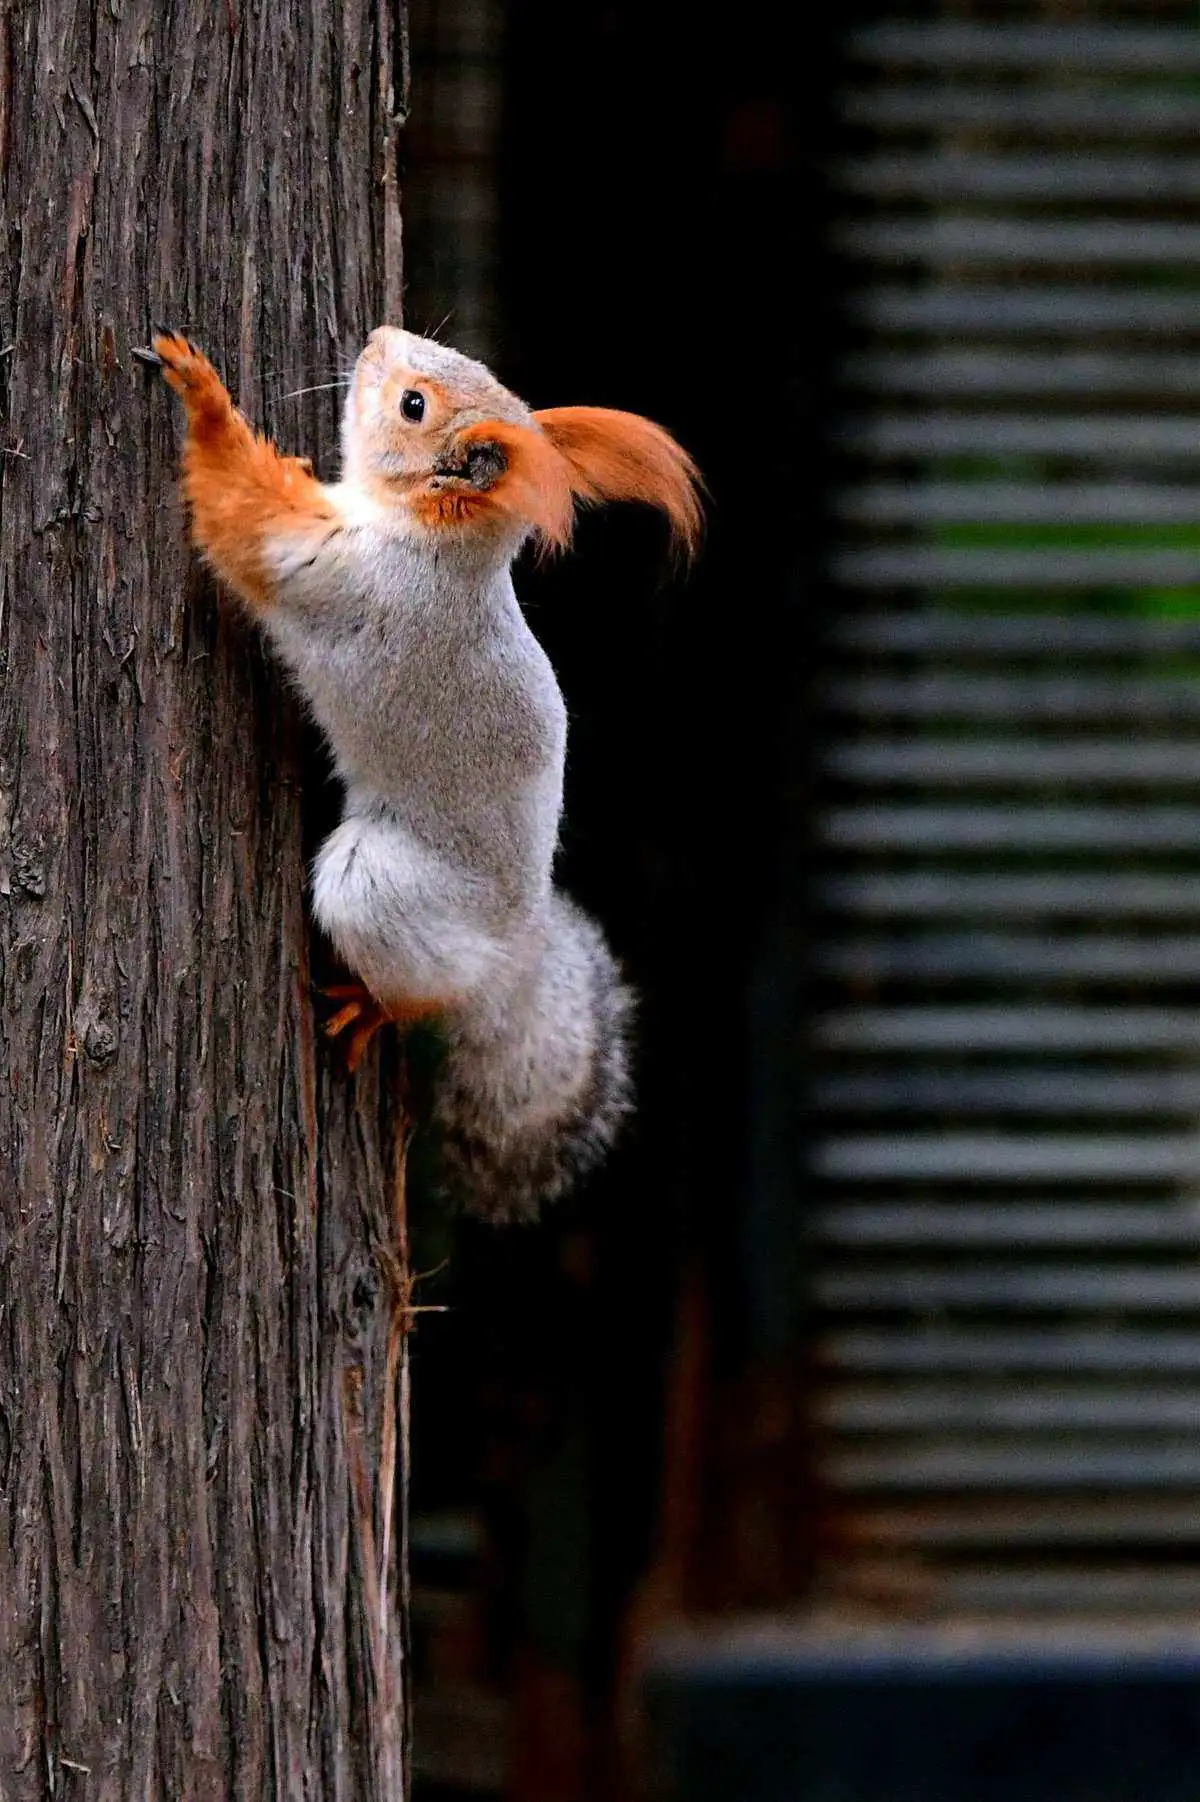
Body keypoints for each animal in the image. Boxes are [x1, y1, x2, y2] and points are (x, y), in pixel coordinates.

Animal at [154, 329, 706, 1218]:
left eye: (414, 406)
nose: (380, 337)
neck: (437, 543)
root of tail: (510, 959)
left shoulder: (335, 568)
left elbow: (242, 514)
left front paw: (201, 394)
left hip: (378, 883)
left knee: (417, 988)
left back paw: (368, 1009)